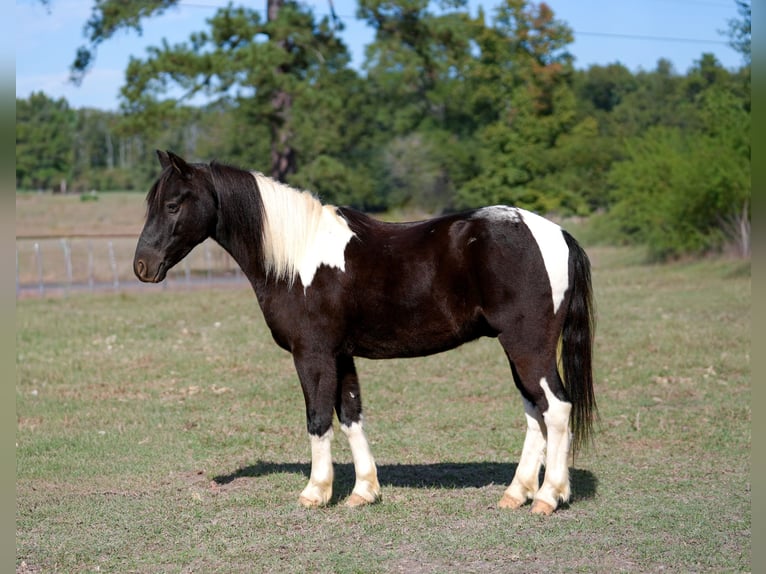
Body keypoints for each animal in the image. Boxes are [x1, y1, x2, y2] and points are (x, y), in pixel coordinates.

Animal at [133, 150, 596, 515]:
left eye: (173, 205)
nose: (142, 266)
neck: (298, 258)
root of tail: (556, 233)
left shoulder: (313, 354)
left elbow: (319, 418)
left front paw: (316, 492)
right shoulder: (342, 355)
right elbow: (351, 415)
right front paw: (363, 491)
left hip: (528, 346)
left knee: (556, 409)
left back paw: (548, 497)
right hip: (517, 349)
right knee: (535, 412)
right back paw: (517, 493)